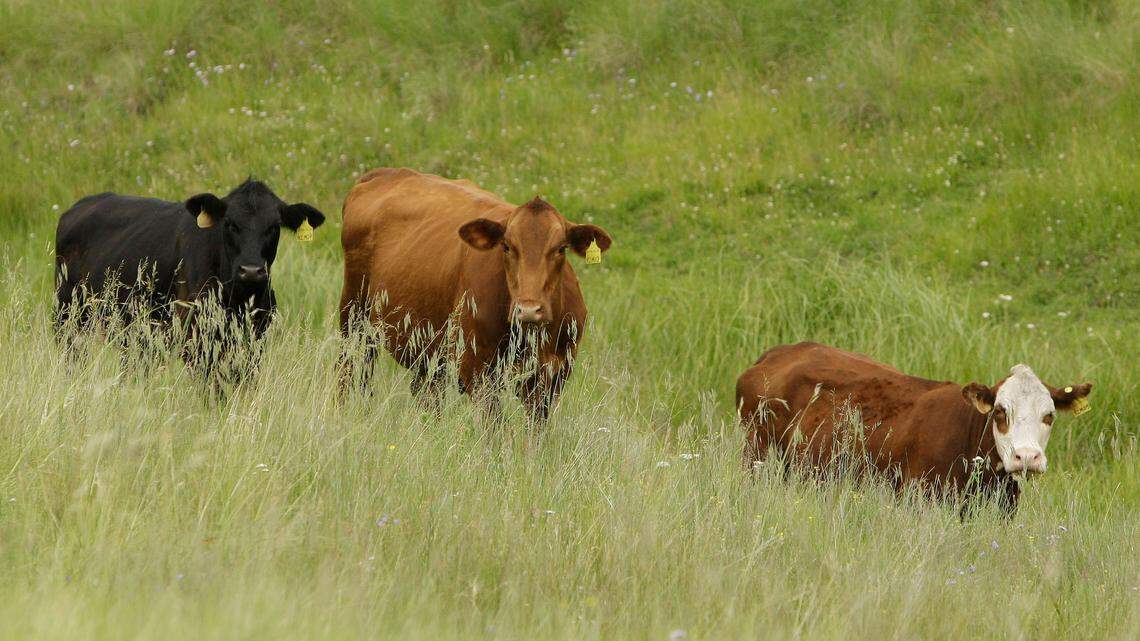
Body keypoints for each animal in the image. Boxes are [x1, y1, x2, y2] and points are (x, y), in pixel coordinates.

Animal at [55, 179, 326, 375]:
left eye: (274, 226)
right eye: (230, 224)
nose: (251, 270)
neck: (236, 300)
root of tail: (83, 204)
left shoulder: (255, 339)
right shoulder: (196, 338)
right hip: (68, 317)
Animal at [338, 167, 612, 421]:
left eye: (561, 249)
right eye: (506, 246)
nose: (528, 310)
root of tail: (387, 173)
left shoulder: (552, 376)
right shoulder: (477, 370)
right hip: (354, 317)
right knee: (350, 371)